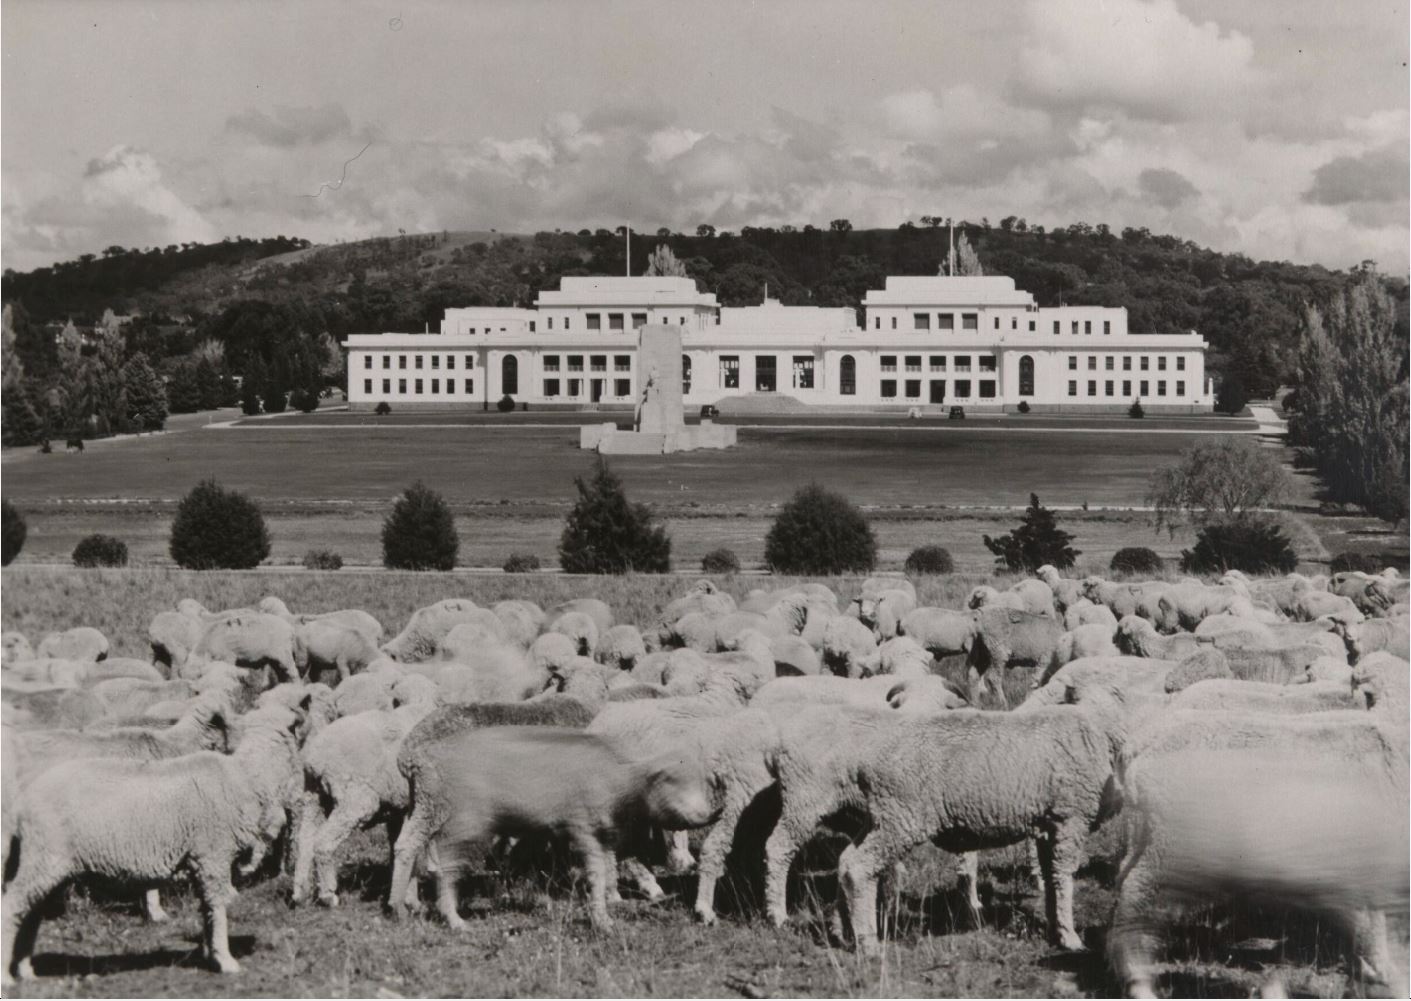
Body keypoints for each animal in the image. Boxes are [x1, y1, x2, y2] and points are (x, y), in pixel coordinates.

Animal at [0, 694, 309, 976]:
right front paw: (225, 960)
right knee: (12, 907)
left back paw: (26, 969)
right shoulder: (212, 856)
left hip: (48, 864)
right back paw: (8, 975)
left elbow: (207, 910)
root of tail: (24, 803)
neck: (243, 775)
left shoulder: (201, 860)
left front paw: (208, 953)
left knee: (31, 913)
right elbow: (217, 908)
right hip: (44, 856)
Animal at [389, 722, 711, 926]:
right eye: (671, 780)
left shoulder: (601, 832)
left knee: (408, 846)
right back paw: (438, 914)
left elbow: (605, 868)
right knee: (434, 858)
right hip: (447, 812)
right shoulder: (583, 827)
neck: (622, 779)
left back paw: (405, 905)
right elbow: (596, 872)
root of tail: (418, 760)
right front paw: (602, 920)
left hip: (423, 805)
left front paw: (606, 907)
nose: (706, 813)